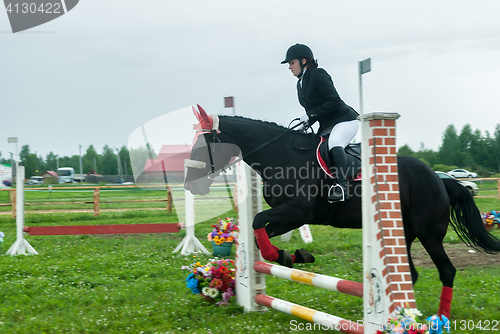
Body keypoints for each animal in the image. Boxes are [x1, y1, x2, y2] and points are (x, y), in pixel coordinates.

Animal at [184, 106, 500, 318]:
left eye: (201, 146)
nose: (189, 185)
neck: (279, 155)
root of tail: (439, 178)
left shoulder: (298, 212)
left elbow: (258, 221)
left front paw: (290, 256)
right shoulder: (290, 216)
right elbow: (259, 233)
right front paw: (293, 256)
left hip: (429, 234)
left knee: (446, 270)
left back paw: (438, 318)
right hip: (404, 234)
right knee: (410, 273)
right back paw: (405, 314)